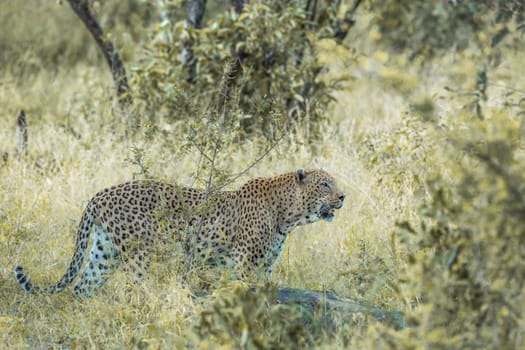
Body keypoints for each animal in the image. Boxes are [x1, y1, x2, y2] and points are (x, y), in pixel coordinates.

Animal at [14, 168, 344, 296]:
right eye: (324, 184)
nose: (343, 196)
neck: (288, 216)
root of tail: (99, 194)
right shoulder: (246, 263)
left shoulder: (265, 265)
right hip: (139, 253)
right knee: (138, 287)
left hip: (104, 252)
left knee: (83, 286)